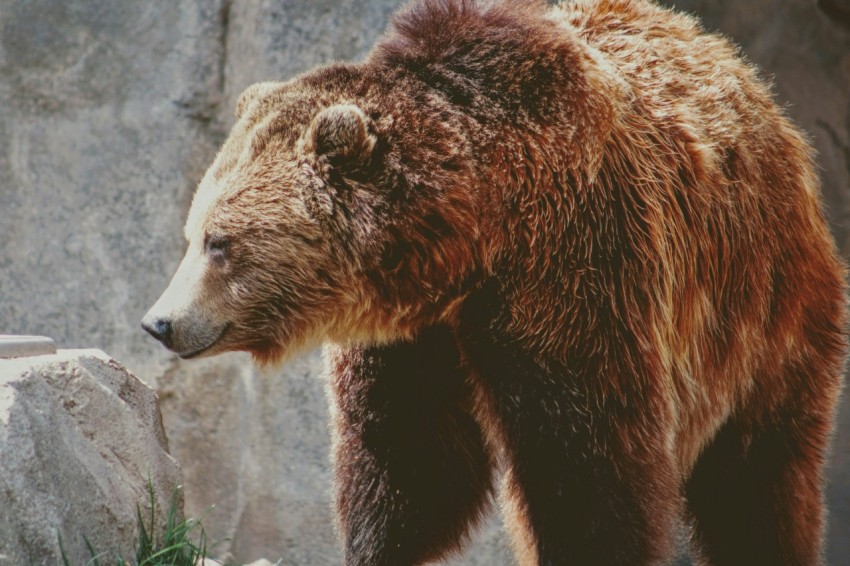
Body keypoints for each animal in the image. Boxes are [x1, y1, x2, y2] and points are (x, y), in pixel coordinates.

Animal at [142, 0, 847, 564]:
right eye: (192, 234)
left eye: (220, 243)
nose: (159, 322)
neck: (470, 239)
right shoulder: (412, 339)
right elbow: (408, 460)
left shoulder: (575, 271)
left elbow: (588, 463)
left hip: (764, 303)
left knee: (758, 472)